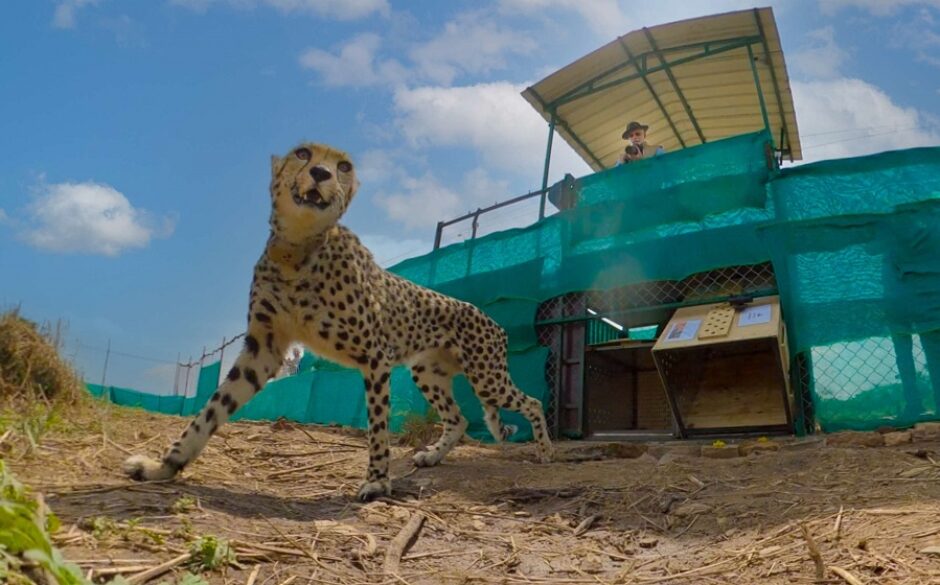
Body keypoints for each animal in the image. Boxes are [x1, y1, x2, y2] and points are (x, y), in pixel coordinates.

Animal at [122, 140, 556, 498]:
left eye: (343, 165)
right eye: (302, 154)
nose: (320, 173)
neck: (298, 248)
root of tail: (490, 318)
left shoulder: (375, 356)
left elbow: (378, 425)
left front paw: (377, 482)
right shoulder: (265, 348)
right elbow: (210, 412)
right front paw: (163, 467)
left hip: (486, 377)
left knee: (532, 401)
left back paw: (546, 450)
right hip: (428, 372)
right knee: (460, 418)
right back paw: (433, 456)